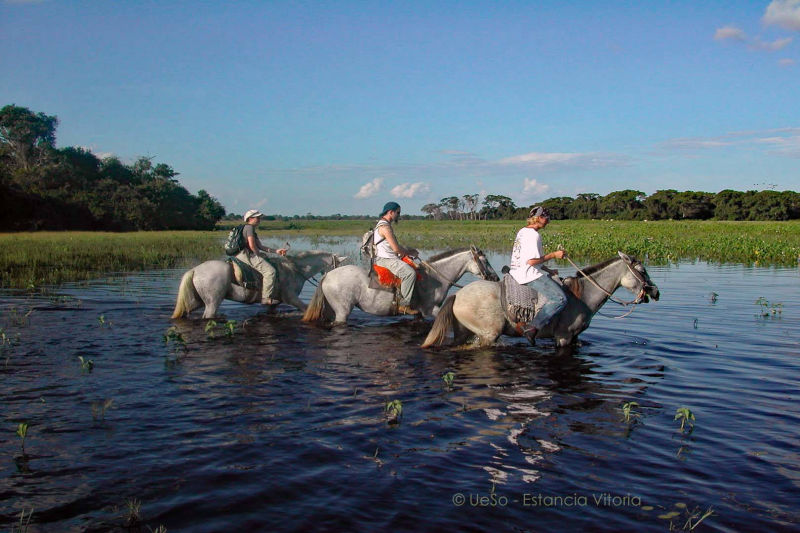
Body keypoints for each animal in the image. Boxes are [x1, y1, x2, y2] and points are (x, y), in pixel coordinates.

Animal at [172, 250, 346, 318]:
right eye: (338, 266)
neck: (295, 270)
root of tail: (194, 270)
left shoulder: (274, 303)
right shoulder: (291, 299)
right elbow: (304, 309)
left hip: (197, 301)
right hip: (212, 302)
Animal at [302, 246, 496, 324]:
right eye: (485, 260)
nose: (494, 277)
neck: (435, 278)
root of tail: (328, 275)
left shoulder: (419, 314)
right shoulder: (430, 309)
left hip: (330, 309)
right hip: (342, 311)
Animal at [422, 251, 660, 348]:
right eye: (642, 271)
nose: (656, 292)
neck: (582, 295)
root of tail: (457, 294)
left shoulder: (574, 338)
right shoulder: (563, 338)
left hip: (464, 331)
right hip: (489, 335)